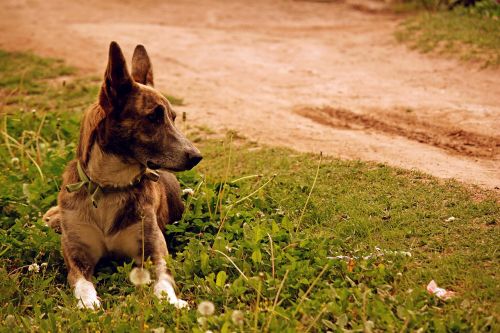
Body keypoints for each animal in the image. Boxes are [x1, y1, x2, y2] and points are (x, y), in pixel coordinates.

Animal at [41, 41, 201, 308]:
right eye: (153, 117)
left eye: (173, 118)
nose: (197, 156)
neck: (109, 187)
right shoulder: (77, 256)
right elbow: (82, 283)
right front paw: (88, 303)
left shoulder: (153, 249)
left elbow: (163, 278)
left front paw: (171, 300)